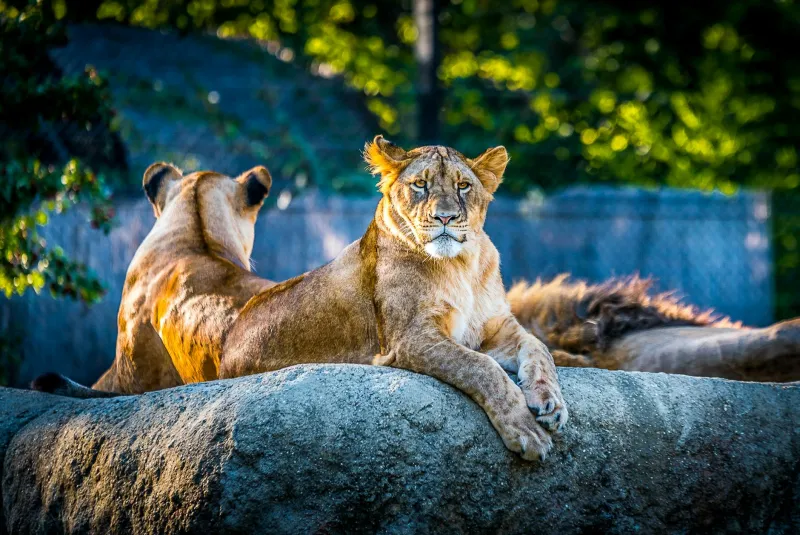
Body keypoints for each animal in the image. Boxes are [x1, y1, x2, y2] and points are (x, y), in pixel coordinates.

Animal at [220, 137, 566, 461]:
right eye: (420, 185)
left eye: (463, 186)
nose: (445, 218)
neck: (460, 264)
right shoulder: (411, 338)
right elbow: (482, 368)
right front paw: (526, 430)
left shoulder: (495, 327)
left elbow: (540, 347)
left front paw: (550, 403)